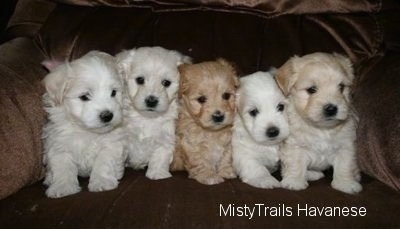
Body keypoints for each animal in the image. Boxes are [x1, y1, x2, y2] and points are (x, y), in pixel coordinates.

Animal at [42, 51, 126, 198]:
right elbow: (62, 167)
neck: (86, 131)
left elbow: (104, 162)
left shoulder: (112, 144)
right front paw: (62, 187)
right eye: (84, 97)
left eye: (113, 93)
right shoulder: (59, 145)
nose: (107, 115)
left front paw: (101, 182)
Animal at [116, 46, 191, 179]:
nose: (151, 100)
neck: (147, 118)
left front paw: (158, 174)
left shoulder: (165, 138)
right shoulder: (123, 136)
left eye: (166, 83)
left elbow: (160, 157)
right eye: (140, 80)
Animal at [276, 52, 362, 194]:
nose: (331, 108)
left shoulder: (346, 145)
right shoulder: (294, 145)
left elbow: (345, 165)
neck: (322, 129)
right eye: (311, 89)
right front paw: (294, 182)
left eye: (341, 87)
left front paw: (346, 183)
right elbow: (295, 163)